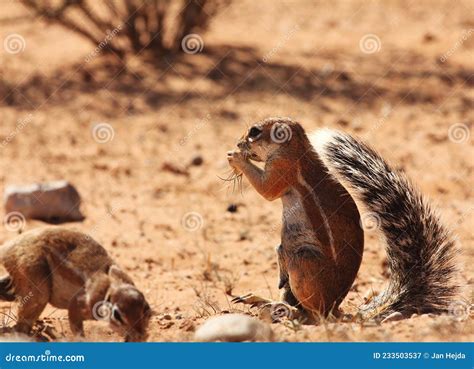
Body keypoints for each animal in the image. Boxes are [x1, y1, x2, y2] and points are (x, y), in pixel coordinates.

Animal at [0, 226, 151, 340]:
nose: (140, 335)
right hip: (36, 282)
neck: (111, 288)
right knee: (23, 322)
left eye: (146, 309)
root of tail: (7, 247)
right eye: (117, 315)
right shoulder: (80, 304)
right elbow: (76, 326)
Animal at [228, 117, 458, 320]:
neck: (295, 148)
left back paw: (284, 310)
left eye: (254, 131)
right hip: (291, 268)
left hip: (303, 260)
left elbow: (266, 189)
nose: (238, 143)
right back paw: (261, 299)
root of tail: (335, 308)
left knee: (314, 314)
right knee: (285, 268)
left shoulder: (282, 168)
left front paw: (235, 156)